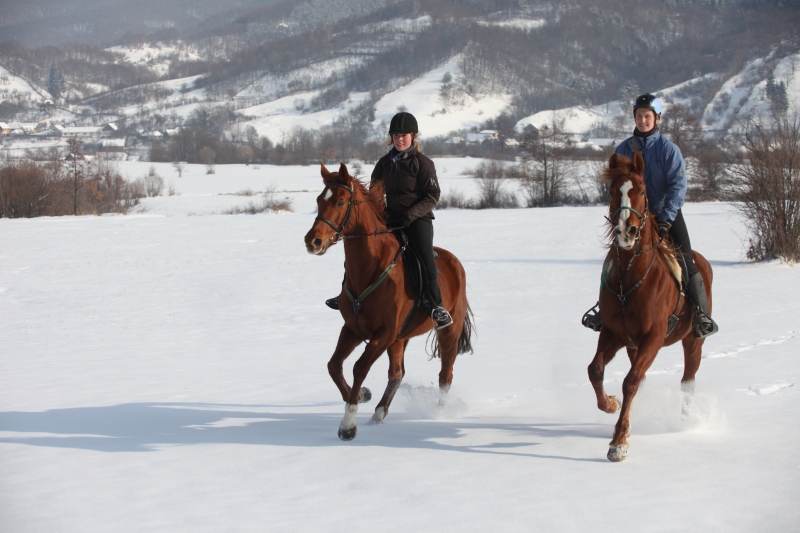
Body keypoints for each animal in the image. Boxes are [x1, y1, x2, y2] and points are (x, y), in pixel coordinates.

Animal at [304, 162, 472, 440]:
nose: (312, 241)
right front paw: (362, 395)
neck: (370, 269)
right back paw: (379, 412)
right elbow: (334, 365)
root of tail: (455, 262)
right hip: (400, 339)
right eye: (319, 200)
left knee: (445, 375)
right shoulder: (353, 329)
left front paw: (348, 424)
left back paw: (437, 415)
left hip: (448, 331)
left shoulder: (383, 333)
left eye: (340, 202)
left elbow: (359, 367)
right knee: (397, 373)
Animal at [588, 151, 712, 462]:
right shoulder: (614, 333)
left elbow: (631, 381)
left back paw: (685, 421)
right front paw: (610, 404)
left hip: (693, 342)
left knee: (687, 380)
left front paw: (618, 442)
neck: (629, 277)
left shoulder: (653, 338)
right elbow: (596, 370)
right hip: (632, 346)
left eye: (642, 191)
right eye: (612, 190)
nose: (626, 231)